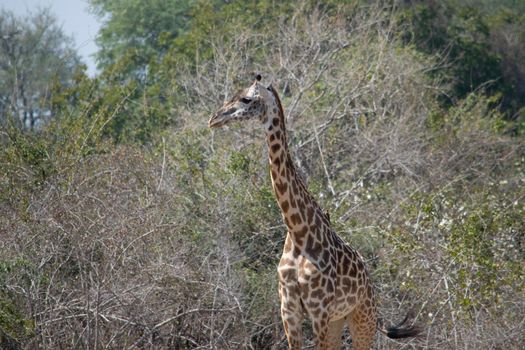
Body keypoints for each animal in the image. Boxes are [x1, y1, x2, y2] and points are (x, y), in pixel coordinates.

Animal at [209, 75, 418, 348]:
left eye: (246, 99)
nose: (214, 119)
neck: (298, 232)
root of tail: (371, 282)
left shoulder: (318, 310)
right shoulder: (289, 310)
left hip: (362, 317)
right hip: (338, 320)